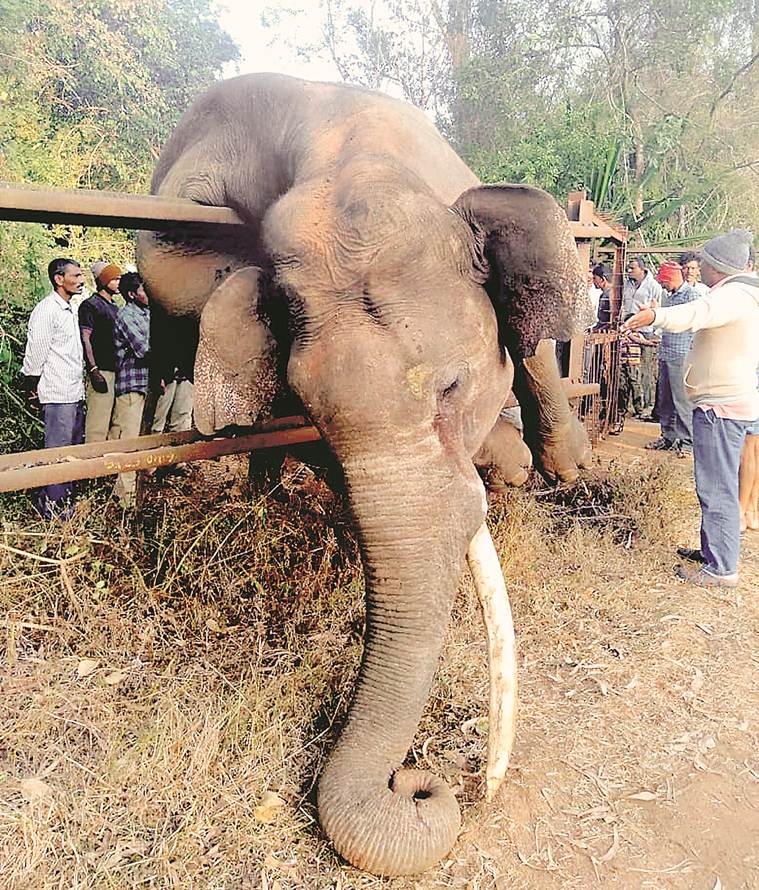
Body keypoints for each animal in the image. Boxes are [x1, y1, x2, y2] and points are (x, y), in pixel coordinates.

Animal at [137, 73, 592, 876]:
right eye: (315, 416)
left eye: (451, 387)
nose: (419, 783)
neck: (350, 150)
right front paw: (503, 464)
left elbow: (532, 343)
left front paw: (552, 466)